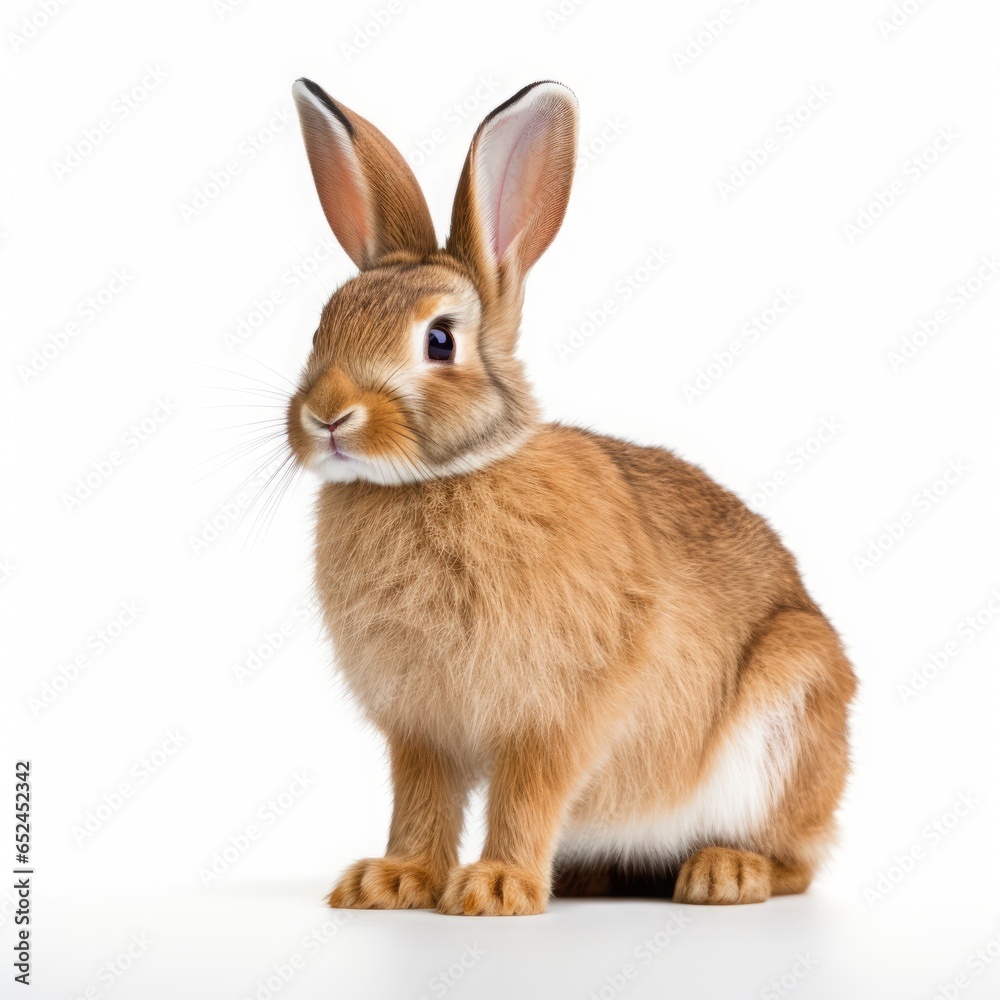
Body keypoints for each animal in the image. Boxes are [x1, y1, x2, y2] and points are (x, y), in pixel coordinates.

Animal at [285, 77, 857, 914]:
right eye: (320, 327)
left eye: (440, 341)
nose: (326, 416)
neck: (439, 479)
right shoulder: (422, 731)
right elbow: (420, 805)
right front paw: (390, 881)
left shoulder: (559, 712)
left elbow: (527, 794)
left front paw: (497, 888)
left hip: (785, 716)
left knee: (798, 861)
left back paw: (724, 873)